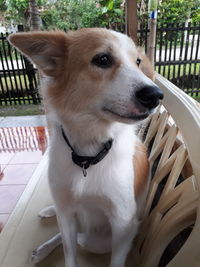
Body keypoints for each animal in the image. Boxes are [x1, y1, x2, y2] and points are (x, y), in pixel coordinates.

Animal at [8, 28, 163, 266]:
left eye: (137, 62)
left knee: (81, 237)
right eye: (103, 59)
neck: (88, 154)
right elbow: (68, 253)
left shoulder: (123, 224)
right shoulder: (66, 215)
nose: (156, 95)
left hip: (98, 240)